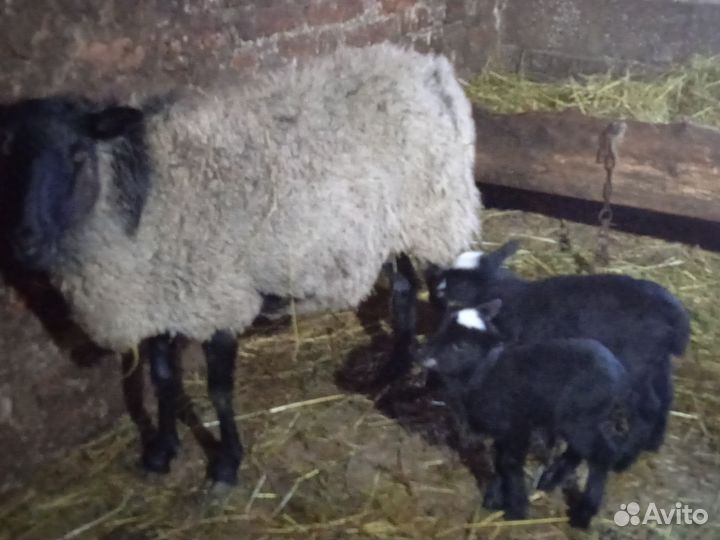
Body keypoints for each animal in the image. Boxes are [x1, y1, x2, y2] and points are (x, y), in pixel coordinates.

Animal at [0, 44, 480, 488]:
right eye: (6, 158)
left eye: (78, 153)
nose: (24, 241)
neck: (140, 201)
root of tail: (427, 65)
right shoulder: (159, 298)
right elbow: (163, 379)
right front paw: (161, 450)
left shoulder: (220, 298)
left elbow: (218, 391)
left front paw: (227, 463)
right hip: (392, 225)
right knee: (403, 288)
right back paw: (391, 370)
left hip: (436, 211)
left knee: (445, 298)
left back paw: (429, 383)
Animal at [416, 299, 639, 528]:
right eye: (441, 326)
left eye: (460, 345)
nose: (421, 354)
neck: (483, 373)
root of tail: (621, 378)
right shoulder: (504, 430)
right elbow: (499, 459)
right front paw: (495, 496)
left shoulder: (517, 424)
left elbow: (509, 462)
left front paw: (516, 508)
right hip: (576, 421)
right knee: (580, 450)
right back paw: (552, 478)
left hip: (582, 420)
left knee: (603, 454)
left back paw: (583, 512)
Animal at [431, 240, 690, 464]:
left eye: (462, 282)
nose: (438, 290)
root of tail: (676, 317)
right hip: (658, 362)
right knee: (666, 397)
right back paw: (654, 443)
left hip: (637, 363)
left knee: (648, 406)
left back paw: (628, 453)